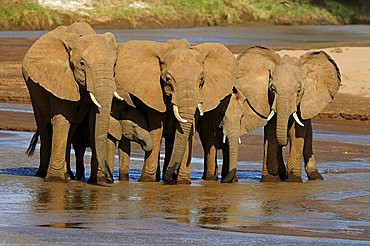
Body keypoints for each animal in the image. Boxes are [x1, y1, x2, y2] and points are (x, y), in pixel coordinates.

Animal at [22, 21, 118, 183]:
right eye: (82, 64)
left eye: (114, 65)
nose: (111, 179)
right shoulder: (59, 77)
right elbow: (61, 120)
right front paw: (55, 180)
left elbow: (93, 121)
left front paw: (97, 181)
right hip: (33, 90)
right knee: (44, 124)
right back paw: (43, 174)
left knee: (72, 126)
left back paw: (68, 175)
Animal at [114, 39, 237, 184]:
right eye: (168, 79)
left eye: (202, 79)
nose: (169, 176)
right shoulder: (154, 93)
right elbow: (156, 130)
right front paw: (147, 180)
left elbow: (189, 130)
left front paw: (183, 182)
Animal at [237, 46, 342, 182]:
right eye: (272, 88)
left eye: (299, 90)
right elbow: (271, 132)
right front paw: (269, 180)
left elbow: (297, 132)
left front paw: (293, 181)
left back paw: (315, 176)